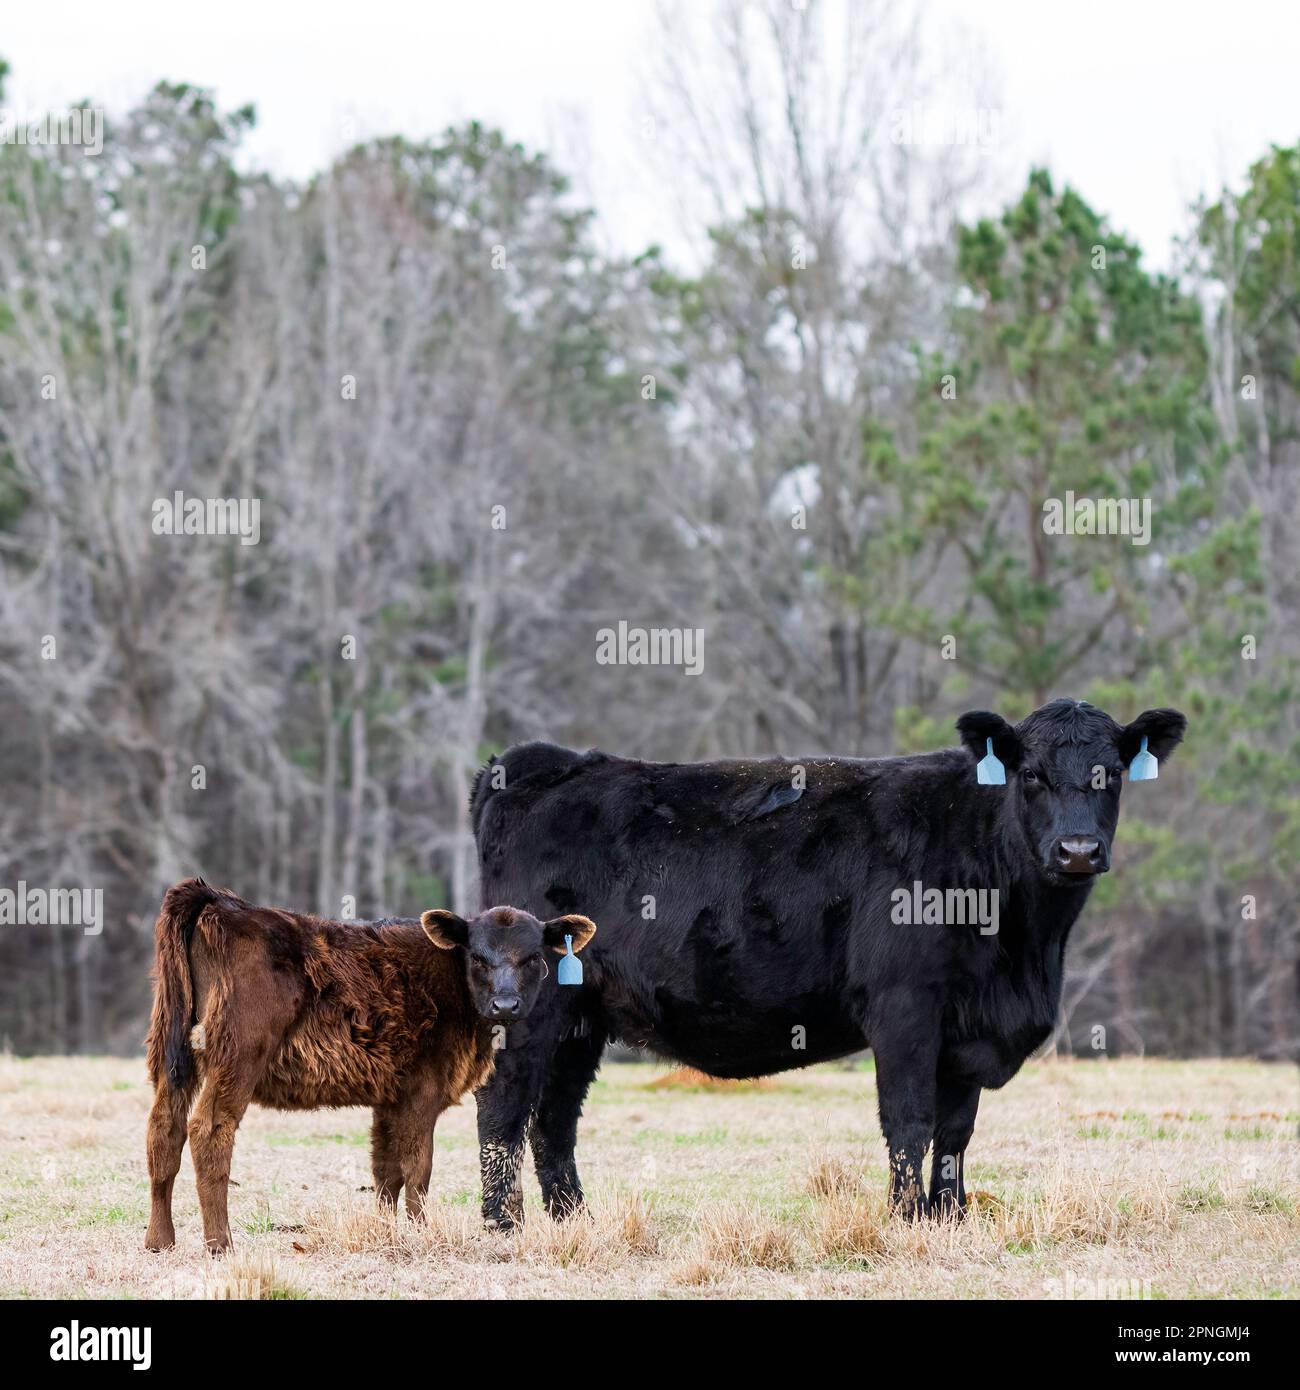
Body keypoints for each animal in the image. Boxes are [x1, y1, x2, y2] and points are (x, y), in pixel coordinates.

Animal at [143, 884, 595, 1256]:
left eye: (532, 957)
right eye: (478, 957)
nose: (505, 1004)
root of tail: (221, 902)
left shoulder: (389, 1098)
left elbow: (385, 1171)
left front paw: (385, 1231)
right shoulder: (422, 1093)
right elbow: (418, 1168)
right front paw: (420, 1233)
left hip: (172, 1055)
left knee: (164, 1130)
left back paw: (159, 1240)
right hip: (236, 1056)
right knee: (208, 1130)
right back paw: (221, 1244)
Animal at [469, 700, 1190, 1223]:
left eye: (1112, 774)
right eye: (1032, 775)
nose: (1077, 850)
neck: (1026, 949)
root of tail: (548, 763)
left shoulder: (965, 1029)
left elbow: (956, 1130)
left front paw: (950, 1218)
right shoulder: (905, 1008)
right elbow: (910, 1120)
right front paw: (905, 1219)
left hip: (583, 1012)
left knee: (555, 1117)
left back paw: (575, 1220)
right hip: (531, 1002)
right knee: (504, 1103)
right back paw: (505, 1224)